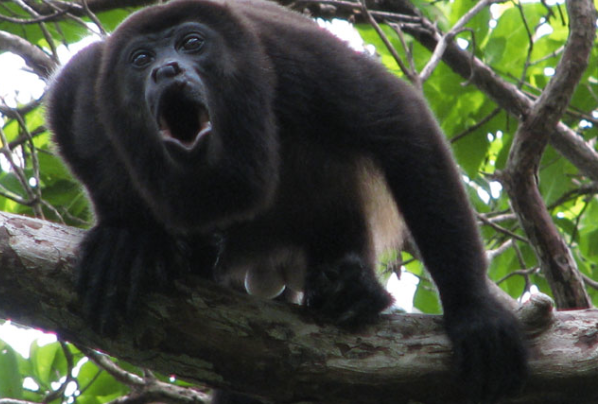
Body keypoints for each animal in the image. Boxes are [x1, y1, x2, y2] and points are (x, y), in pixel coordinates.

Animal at [45, 0, 528, 402]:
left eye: (192, 43)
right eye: (141, 59)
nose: (166, 70)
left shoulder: (291, 54)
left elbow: (400, 122)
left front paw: (472, 307)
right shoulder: (97, 78)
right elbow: (72, 89)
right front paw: (128, 238)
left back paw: (352, 288)